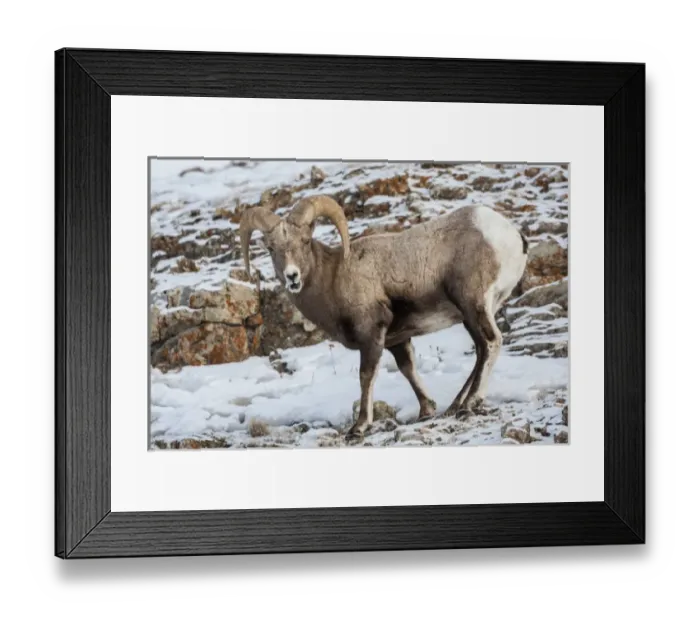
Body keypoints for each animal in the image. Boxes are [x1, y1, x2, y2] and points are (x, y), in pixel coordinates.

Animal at [239, 195, 528, 441]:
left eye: (305, 241)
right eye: (271, 248)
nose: (292, 276)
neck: (333, 277)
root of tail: (511, 236)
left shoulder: (371, 335)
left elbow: (366, 376)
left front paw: (358, 428)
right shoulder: (396, 340)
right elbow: (407, 369)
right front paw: (426, 410)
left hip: (473, 304)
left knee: (491, 342)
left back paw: (469, 404)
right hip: (472, 314)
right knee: (481, 350)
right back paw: (455, 404)